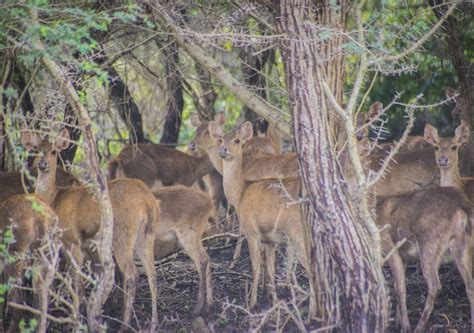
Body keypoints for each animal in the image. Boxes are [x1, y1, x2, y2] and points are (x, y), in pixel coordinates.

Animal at [20, 127, 159, 330]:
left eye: (53, 151)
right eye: (37, 149)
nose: (42, 164)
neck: (54, 200)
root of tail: (147, 200)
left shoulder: (72, 239)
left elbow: (77, 282)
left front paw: (76, 321)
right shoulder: (87, 247)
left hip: (122, 233)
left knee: (132, 274)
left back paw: (124, 325)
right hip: (146, 234)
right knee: (151, 273)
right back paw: (153, 323)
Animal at [152, 184, 215, 314]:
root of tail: (209, 202)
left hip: (187, 237)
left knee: (202, 260)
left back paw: (197, 308)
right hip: (196, 238)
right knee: (208, 258)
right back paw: (209, 306)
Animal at [209, 120, 316, 320]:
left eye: (237, 140)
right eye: (220, 139)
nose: (224, 150)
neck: (241, 194)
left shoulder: (252, 231)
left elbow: (256, 268)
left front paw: (251, 304)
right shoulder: (270, 240)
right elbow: (271, 270)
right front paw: (273, 301)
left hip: (297, 232)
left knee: (313, 268)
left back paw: (313, 312)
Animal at [376, 187, 472, 332]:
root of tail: (461, 206)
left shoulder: (390, 247)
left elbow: (401, 288)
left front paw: (405, 326)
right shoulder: (403, 255)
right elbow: (397, 285)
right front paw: (398, 321)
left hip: (429, 243)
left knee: (435, 284)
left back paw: (419, 327)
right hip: (463, 246)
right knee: (470, 284)